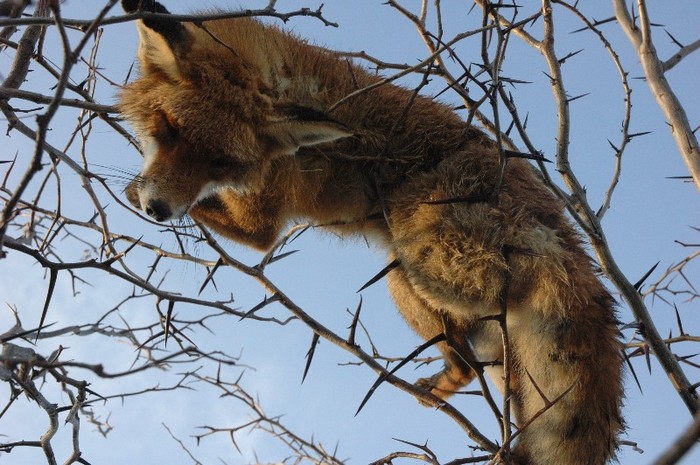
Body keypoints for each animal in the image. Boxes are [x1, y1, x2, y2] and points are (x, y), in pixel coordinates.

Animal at [119, 1, 624, 462]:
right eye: (168, 129)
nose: (158, 209)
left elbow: (248, 230)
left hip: (415, 265)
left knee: (480, 337)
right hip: (478, 328)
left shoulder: (263, 215)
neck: (277, 75)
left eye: (220, 162)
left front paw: (129, 189)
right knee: (483, 369)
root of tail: (576, 255)